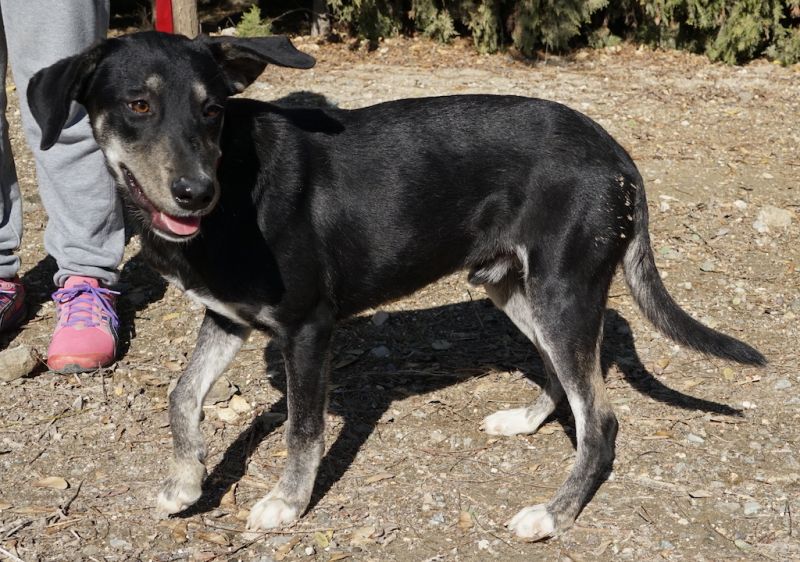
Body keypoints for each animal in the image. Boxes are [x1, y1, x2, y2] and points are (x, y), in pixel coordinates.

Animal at [27, 31, 764, 540]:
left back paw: (552, 515)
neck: (236, 183)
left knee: (601, 419)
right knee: (568, 384)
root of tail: (614, 151)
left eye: (212, 112)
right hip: (514, 287)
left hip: (562, 291)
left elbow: (303, 429)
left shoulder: (308, 326)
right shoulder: (230, 317)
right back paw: (526, 420)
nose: (193, 193)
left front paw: (287, 503)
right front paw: (185, 482)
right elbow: (181, 397)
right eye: (138, 105)